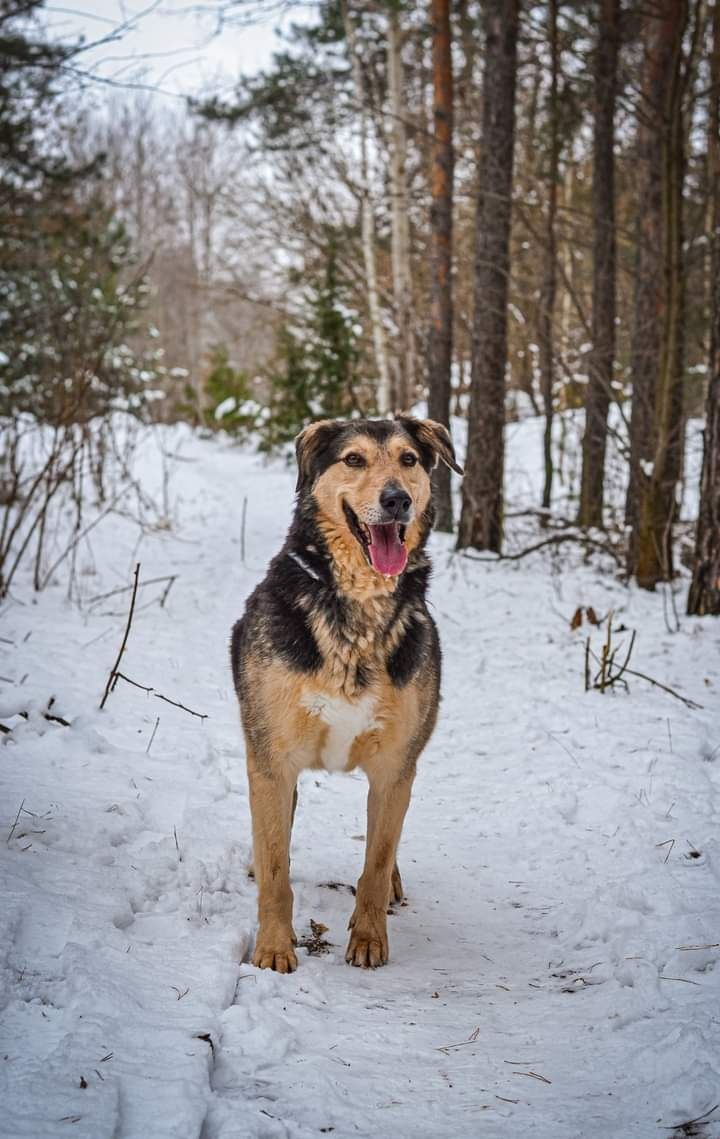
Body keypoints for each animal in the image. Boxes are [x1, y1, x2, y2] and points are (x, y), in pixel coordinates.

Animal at [230, 416, 460, 970]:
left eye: (408, 459)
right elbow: (276, 870)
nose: (397, 499)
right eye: (353, 459)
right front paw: (273, 948)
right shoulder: (272, 760)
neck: (359, 609)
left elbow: (375, 863)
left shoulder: (395, 766)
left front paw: (370, 939)